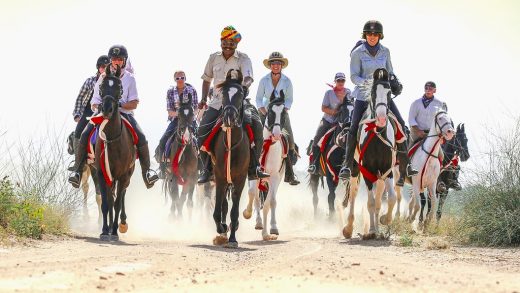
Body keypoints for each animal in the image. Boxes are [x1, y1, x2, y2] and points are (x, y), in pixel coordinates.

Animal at [244, 90, 288, 240]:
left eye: (284, 113)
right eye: (270, 112)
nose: (276, 134)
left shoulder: (274, 177)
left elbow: (271, 202)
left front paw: (270, 230)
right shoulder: (254, 174)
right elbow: (252, 193)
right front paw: (247, 213)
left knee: (269, 201)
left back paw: (270, 228)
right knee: (257, 198)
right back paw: (258, 223)